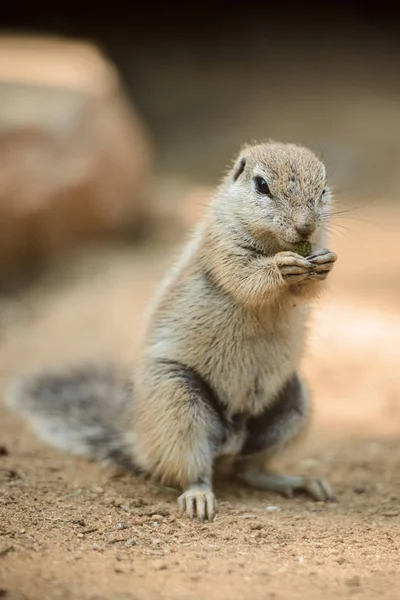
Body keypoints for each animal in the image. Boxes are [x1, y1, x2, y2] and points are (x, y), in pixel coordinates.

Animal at [6, 141, 338, 520]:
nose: (305, 228)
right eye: (261, 185)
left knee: (251, 470)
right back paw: (200, 496)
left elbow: (305, 291)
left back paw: (301, 482)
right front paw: (282, 267)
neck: (272, 244)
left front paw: (324, 261)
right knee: (195, 470)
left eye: (323, 189)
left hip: (292, 402)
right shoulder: (220, 247)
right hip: (178, 400)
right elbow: (245, 277)